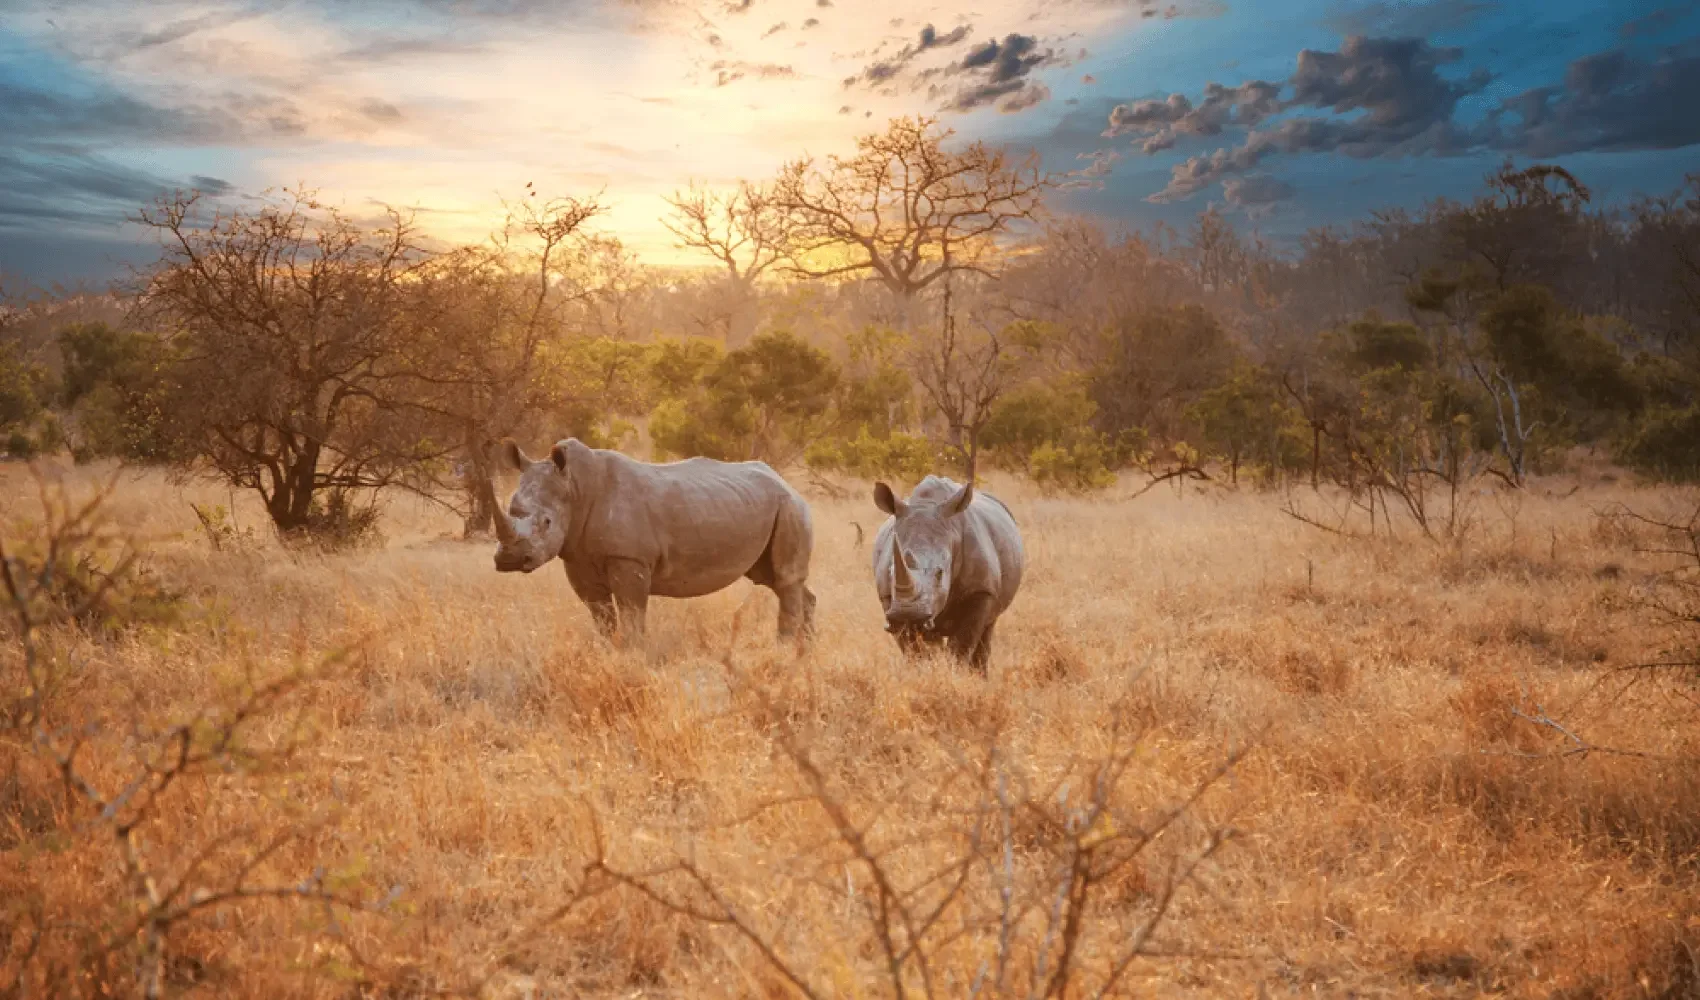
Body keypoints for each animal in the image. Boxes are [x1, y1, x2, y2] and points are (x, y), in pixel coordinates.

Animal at [487, 438, 816, 641]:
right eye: (511, 510)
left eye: (546, 522)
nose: (508, 559)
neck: (574, 488)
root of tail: (786, 483)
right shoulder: (578, 557)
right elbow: (602, 619)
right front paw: (608, 655)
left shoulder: (630, 559)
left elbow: (632, 618)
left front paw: (632, 660)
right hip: (760, 506)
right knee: (773, 578)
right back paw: (804, 652)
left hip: (789, 506)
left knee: (785, 579)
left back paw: (783, 651)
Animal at [872, 475, 1023, 672]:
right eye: (890, 572)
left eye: (940, 573)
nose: (908, 614)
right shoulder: (889, 600)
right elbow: (913, 651)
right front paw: (923, 671)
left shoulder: (981, 590)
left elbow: (961, 647)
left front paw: (956, 674)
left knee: (987, 630)